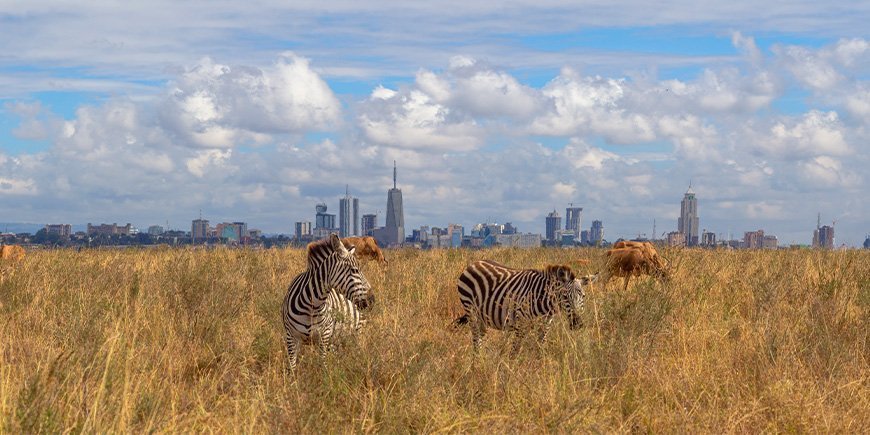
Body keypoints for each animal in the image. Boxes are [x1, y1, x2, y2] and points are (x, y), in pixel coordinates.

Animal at [281, 233, 375, 370]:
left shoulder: (324, 336)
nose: (372, 300)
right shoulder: (291, 337)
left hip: (357, 331)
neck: (312, 306)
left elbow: (322, 365)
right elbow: (292, 367)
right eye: (354, 270)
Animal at [454, 260, 595, 354]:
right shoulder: (521, 323)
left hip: (482, 317)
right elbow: (515, 351)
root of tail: (474, 263)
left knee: (479, 339)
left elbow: (540, 349)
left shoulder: (545, 325)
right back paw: (477, 363)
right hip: (471, 311)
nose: (577, 324)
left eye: (583, 296)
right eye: (565, 297)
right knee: (475, 339)